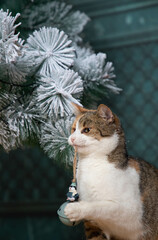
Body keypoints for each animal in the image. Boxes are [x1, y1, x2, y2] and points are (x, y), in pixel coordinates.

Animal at [64, 103, 158, 240]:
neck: (92, 166)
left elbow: (103, 206)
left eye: (86, 130)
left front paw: (76, 209)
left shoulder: (131, 212)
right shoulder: (93, 226)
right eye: (73, 130)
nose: (72, 138)